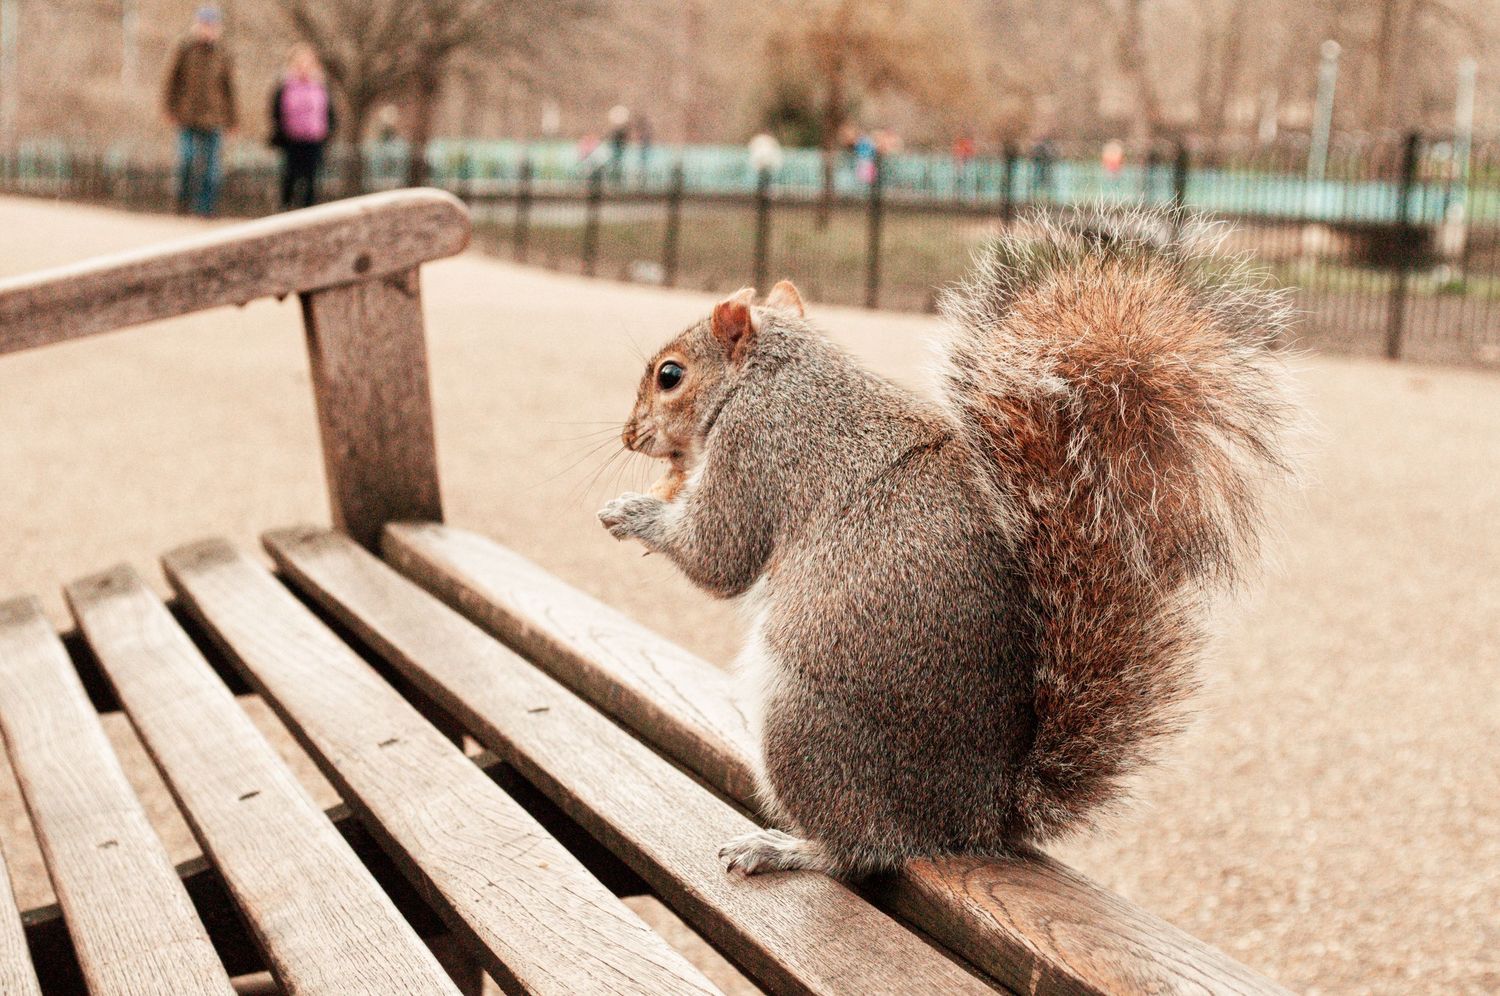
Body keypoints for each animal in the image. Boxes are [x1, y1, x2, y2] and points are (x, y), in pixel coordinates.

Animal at [598, 208, 1298, 878]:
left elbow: (720, 557)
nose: (630, 435)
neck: (774, 371)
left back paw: (791, 848)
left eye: (670, 375)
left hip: (804, 721)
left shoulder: (756, 445)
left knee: (868, 847)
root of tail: (979, 814)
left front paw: (633, 512)